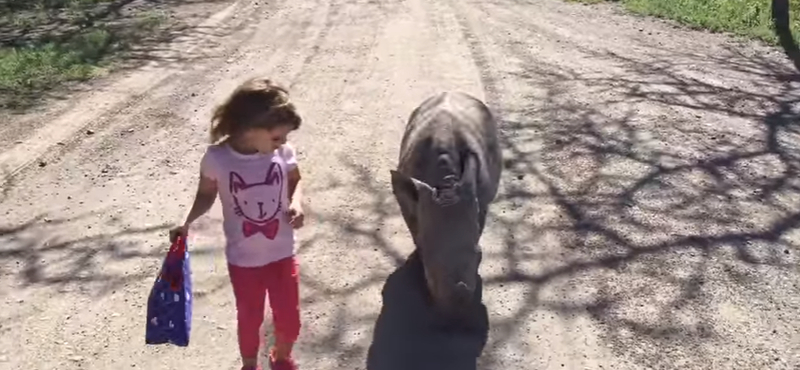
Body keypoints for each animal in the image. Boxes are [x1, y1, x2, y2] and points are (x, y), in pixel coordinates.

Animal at [392, 91, 504, 322]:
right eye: (427, 260)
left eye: (480, 256)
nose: (455, 313)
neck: (445, 185)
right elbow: (415, 230)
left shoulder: (479, 200)